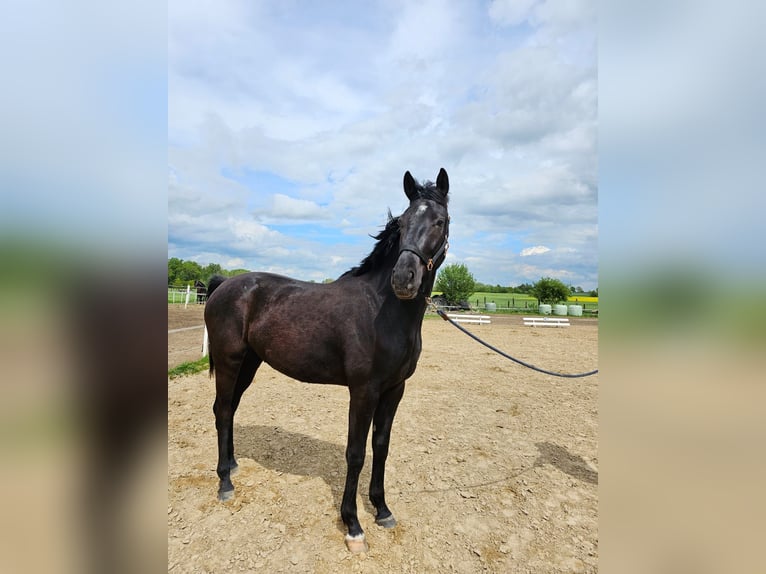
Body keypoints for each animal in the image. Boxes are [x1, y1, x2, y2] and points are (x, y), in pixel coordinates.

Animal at [206, 169, 450, 556]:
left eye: (440, 221)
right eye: (402, 222)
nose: (403, 278)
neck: (384, 311)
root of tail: (225, 284)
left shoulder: (394, 389)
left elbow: (381, 446)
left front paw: (382, 509)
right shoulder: (363, 391)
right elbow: (356, 453)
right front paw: (353, 525)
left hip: (249, 364)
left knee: (229, 409)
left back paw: (231, 465)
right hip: (229, 362)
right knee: (222, 410)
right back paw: (224, 483)